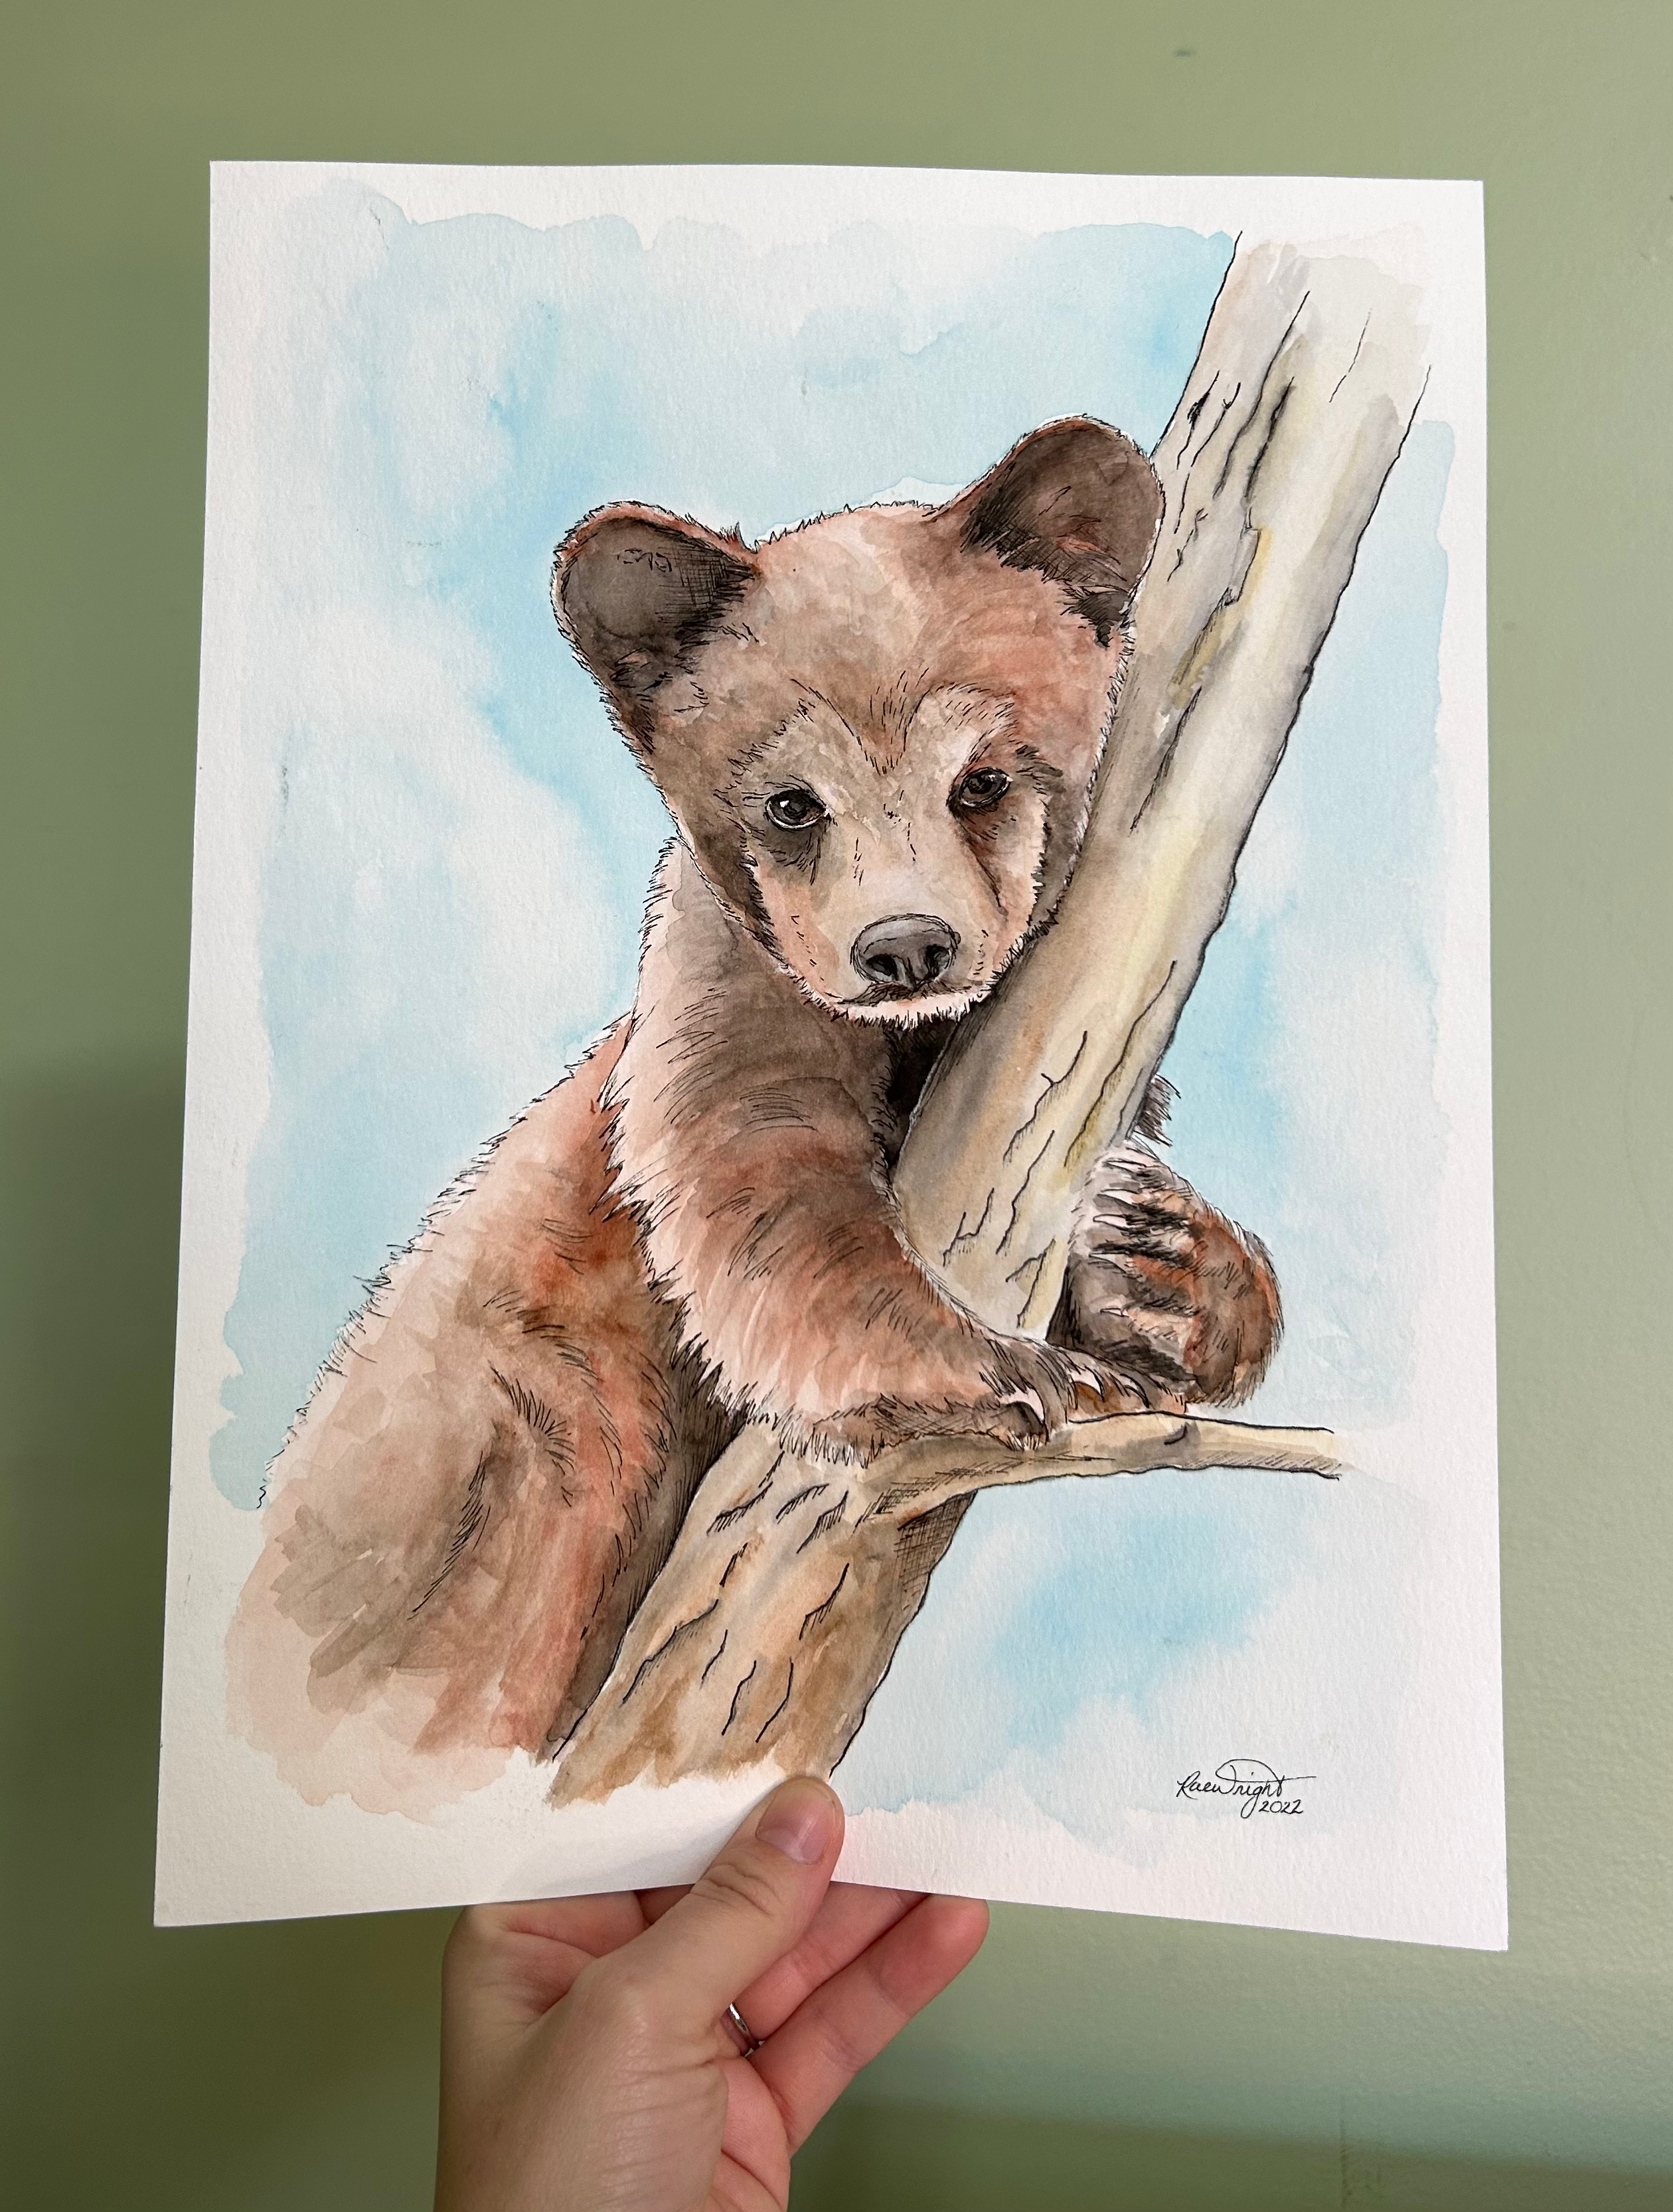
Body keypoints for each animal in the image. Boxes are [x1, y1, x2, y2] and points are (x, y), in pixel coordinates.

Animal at [228, 417, 1281, 1811]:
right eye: (791, 801)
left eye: (983, 779)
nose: (906, 947)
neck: (912, 1046)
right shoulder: (715, 1013)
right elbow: (758, 1201)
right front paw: (996, 1370)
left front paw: (1162, 1259)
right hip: (502, 1478)